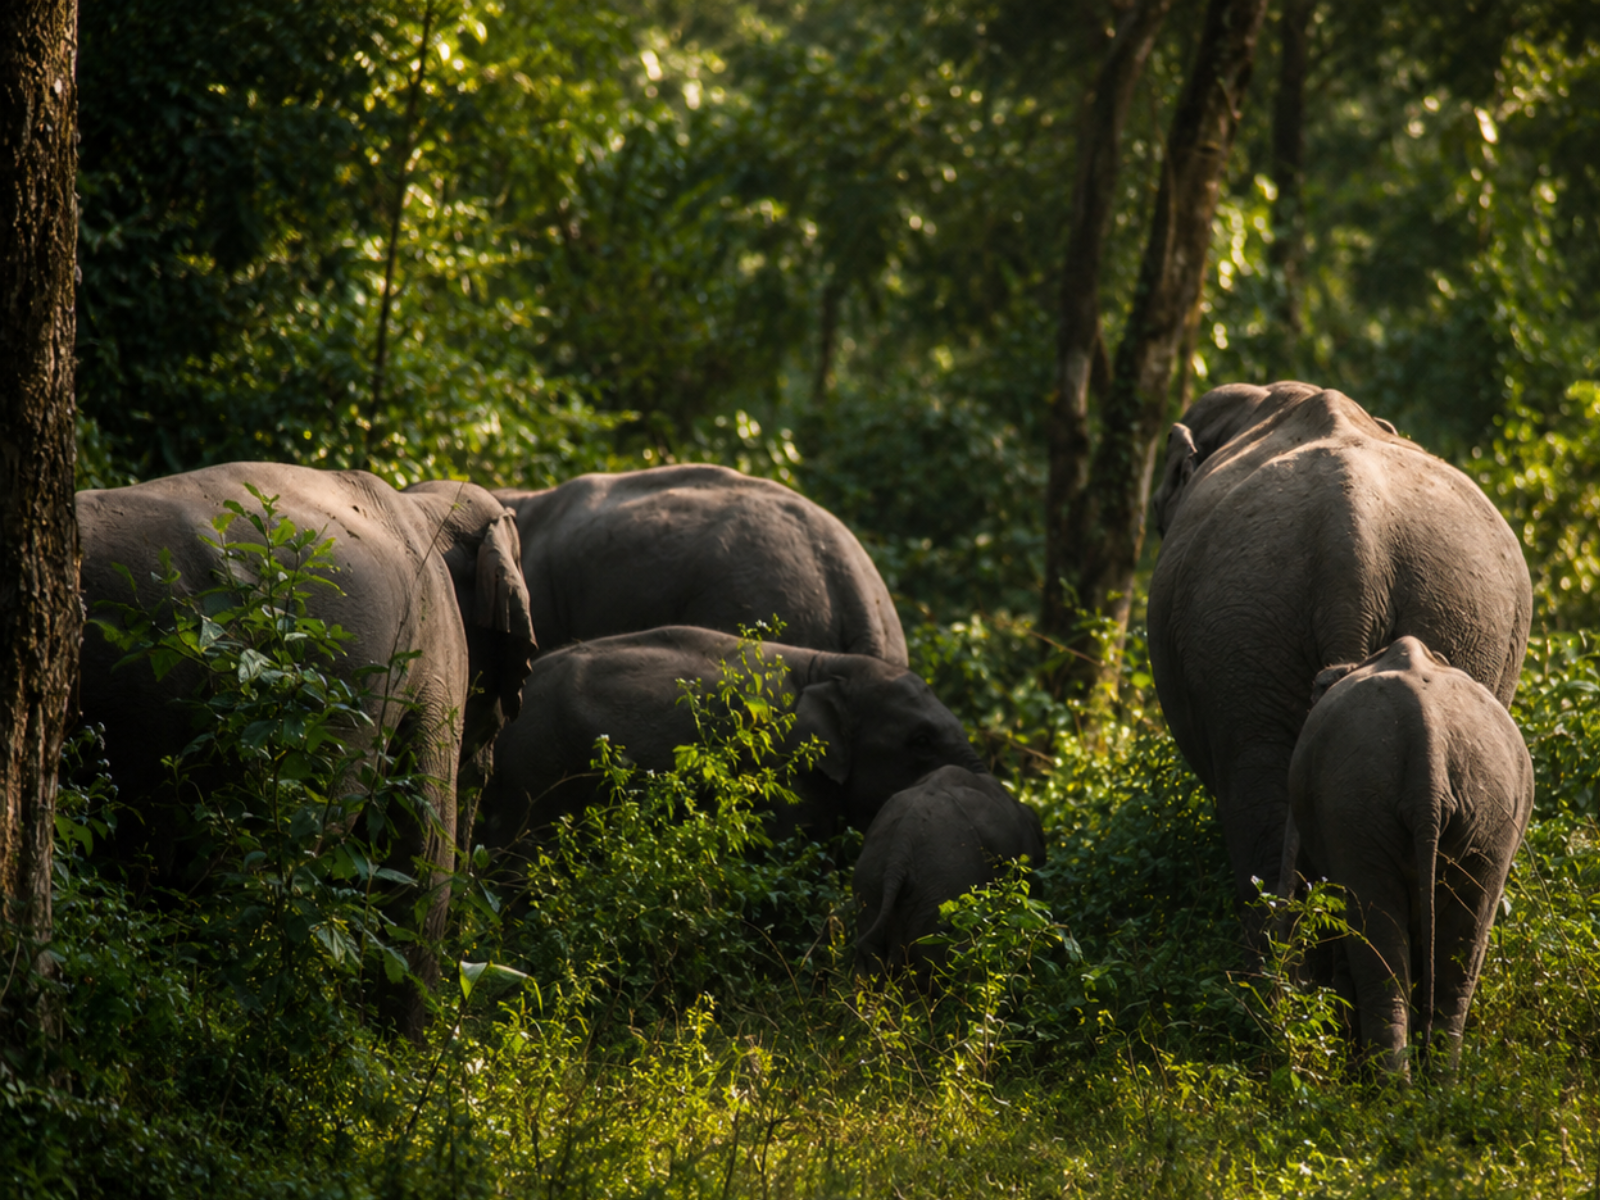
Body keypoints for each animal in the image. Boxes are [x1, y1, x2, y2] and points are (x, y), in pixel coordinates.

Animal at [1279, 637, 1534, 1075]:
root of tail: (1426, 746)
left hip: (1358, 807)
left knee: (1378, 944)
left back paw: (1389, 1088)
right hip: (1488, 817)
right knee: (1461, 954)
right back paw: (1436, 1083)